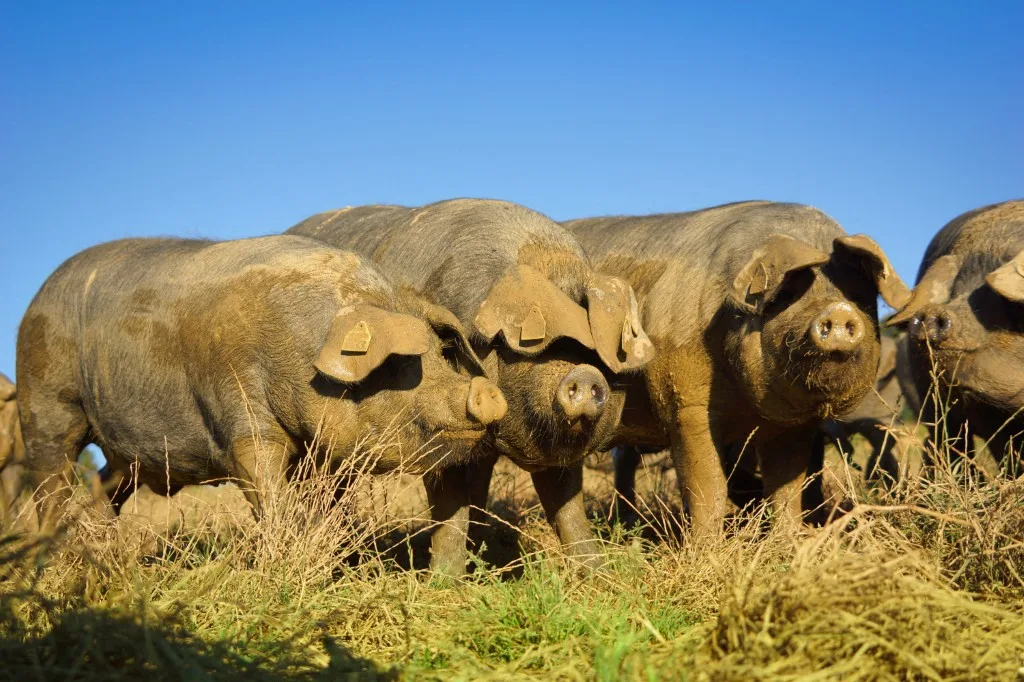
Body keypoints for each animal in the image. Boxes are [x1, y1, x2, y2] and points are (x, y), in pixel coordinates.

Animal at [16, 235, 507, 552]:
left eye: (443, 354)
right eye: (397, 363)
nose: (487, 392)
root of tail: (37, 298)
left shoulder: (329, 451)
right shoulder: (241, 413)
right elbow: (264, 480)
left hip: (127, 454)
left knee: (104, 486)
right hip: (43, 400)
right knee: (51, 477)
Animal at [287, 199, 654, 573]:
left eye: (590, 352)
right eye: (526, 348)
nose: (584, 374)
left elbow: (567, 506)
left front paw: (597, 572)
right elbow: (450, 507)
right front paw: (444, 579)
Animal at [565, 201, 911, 534]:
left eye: (857, 295)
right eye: (788, 293)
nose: (839, 310)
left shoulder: (794, 424)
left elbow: (786, 489)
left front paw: (787, 542)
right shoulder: (685, 404)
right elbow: (708, 487)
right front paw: (706, 548)